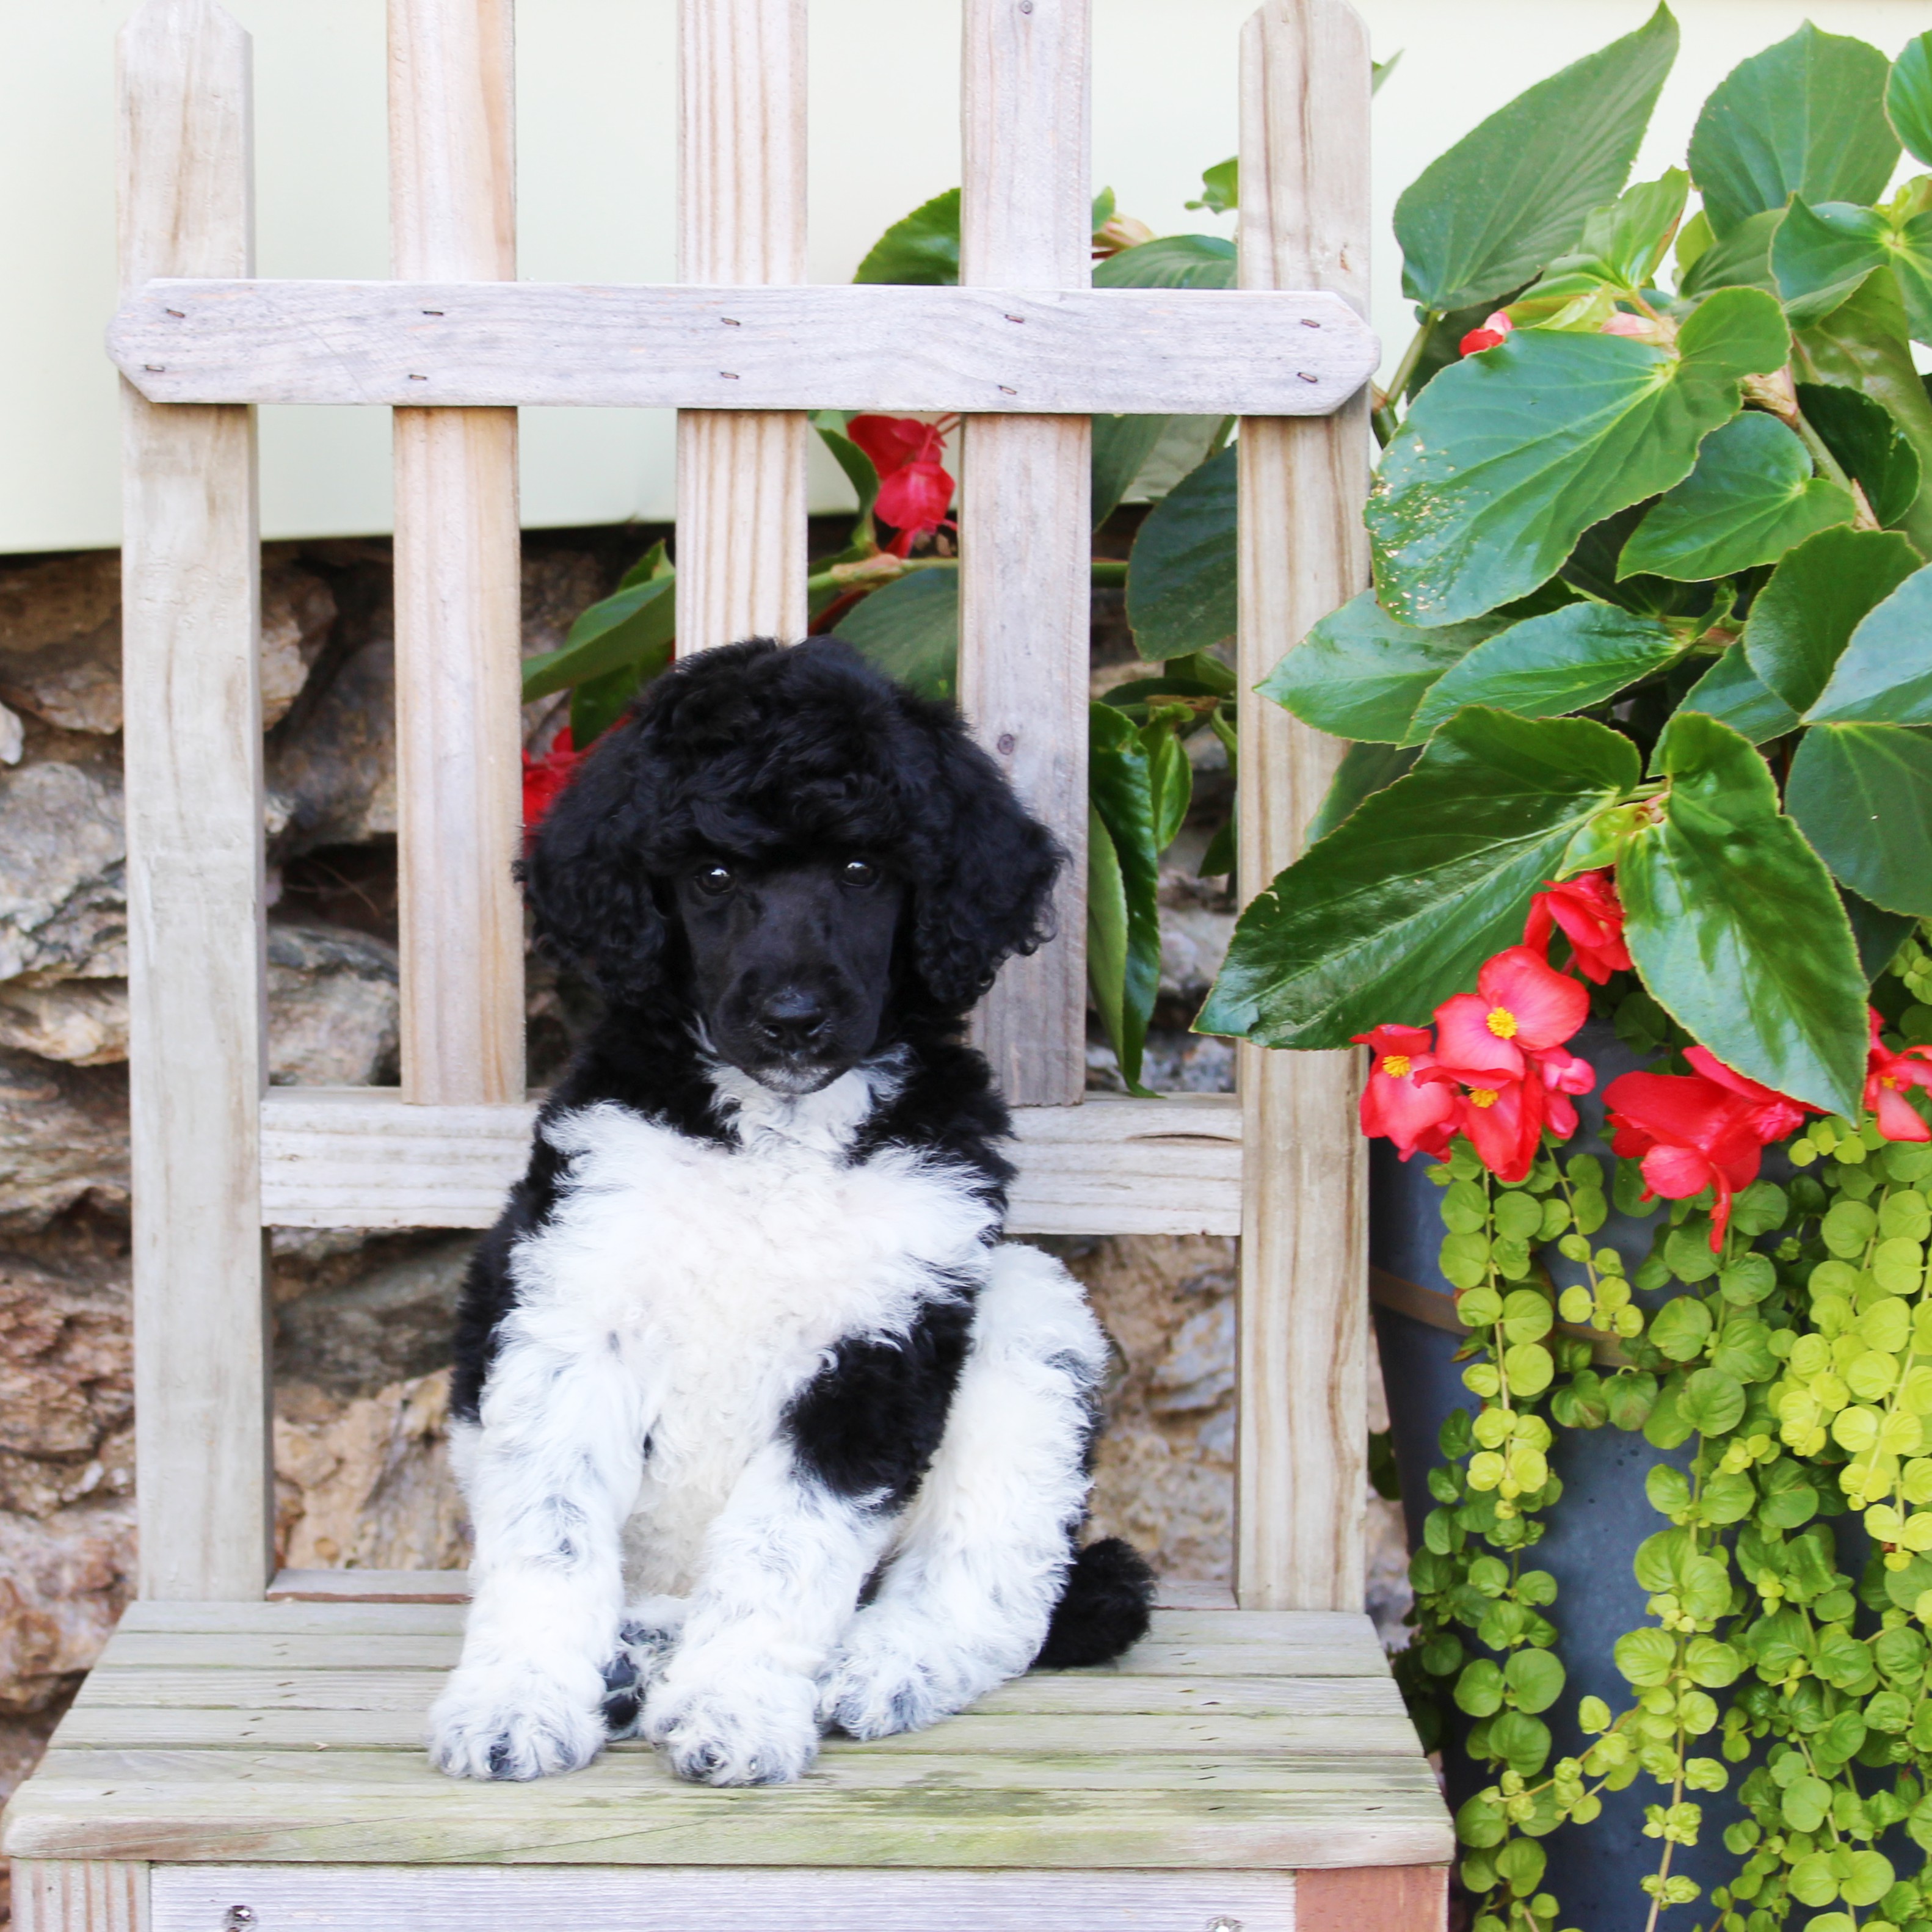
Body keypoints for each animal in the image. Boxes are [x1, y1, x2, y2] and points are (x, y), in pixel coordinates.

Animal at [430, 641, 1151, 1785]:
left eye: (862, 871)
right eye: (712, 879)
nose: (794, 1018)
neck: (777, 1132)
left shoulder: (884, 1337)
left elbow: (786, 1542)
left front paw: (736, 1709)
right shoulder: (571, 1303)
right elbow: (550, 1526)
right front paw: (516, 1701)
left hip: (1030, 1315)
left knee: (1003, 1588)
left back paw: (880, 1665)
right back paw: (634, 1655)